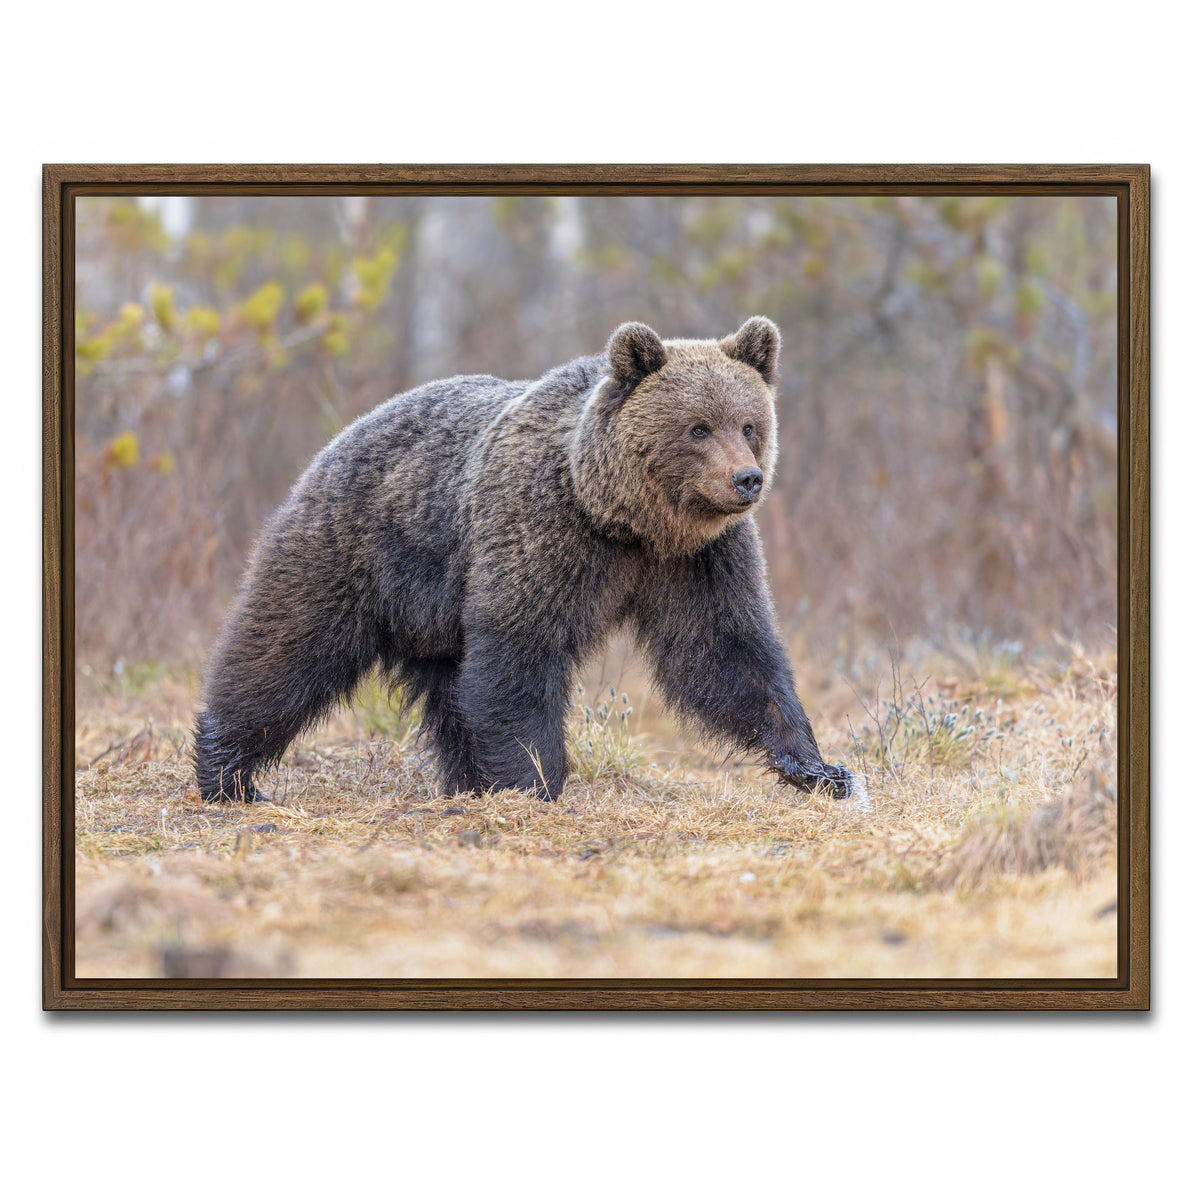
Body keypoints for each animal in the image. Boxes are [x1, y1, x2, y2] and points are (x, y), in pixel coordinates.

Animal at [193, 316, 857, 805]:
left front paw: (818, 767)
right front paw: (534, 781)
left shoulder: (700, 558)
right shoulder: (542, 530)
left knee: (451, 693)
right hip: (355, 550)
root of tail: (344, 434)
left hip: (436, 616)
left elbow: (728, 650)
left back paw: (465, 783)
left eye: (749, 424)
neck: (625, 518)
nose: (746, 480)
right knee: (285, 648)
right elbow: (521, 650)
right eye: (698, 427)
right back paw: (228, 773)